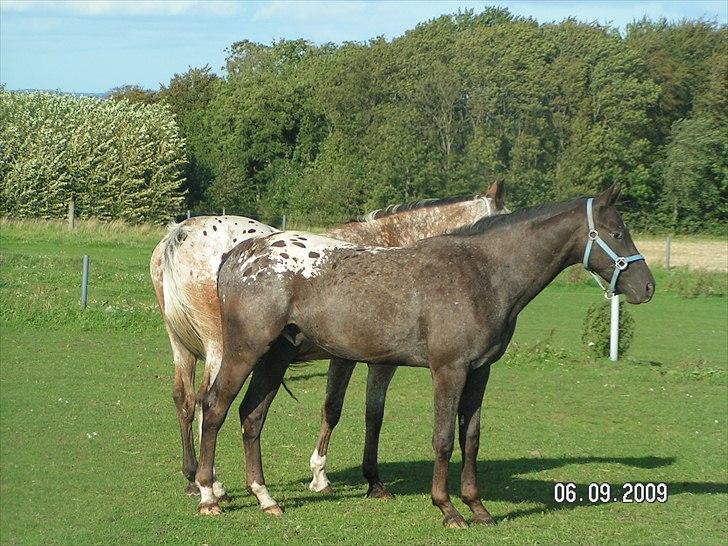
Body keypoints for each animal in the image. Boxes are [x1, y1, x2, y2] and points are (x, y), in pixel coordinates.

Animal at [149, 182, 506, 502]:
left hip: (182, 349)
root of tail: (179, 236)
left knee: (185, 400)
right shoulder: (366, 361)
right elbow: (346, 411)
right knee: (207, 403)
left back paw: (193, 477)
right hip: (222, 349)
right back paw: (212, 485)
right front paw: (335, 477)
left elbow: (362, 412)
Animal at [193, 184, 656, 528]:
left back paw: (265, 498)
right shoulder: (448, 370)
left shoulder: (479, 372)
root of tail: (237, 255)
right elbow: (443, 438)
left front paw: (477, 507)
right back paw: (207, 494)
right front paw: (448, 509)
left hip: (274, 358)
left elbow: (471, 438)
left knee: (251, 417)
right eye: (617, 234)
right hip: (245, 352)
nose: (646, 287)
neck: (480, 273)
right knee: (213, 408)